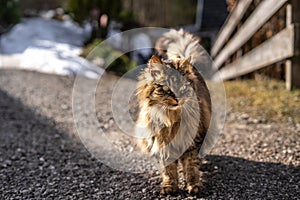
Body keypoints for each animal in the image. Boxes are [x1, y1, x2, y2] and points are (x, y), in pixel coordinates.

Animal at [135, 28, 211, 195]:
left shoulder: (192, 141)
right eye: (167, 88)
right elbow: (168, 169)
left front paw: (193, 186)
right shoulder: (162, 143)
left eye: (183, 87)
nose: (178, 99)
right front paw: (170, 186)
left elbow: (191, 166)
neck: (171, 118)